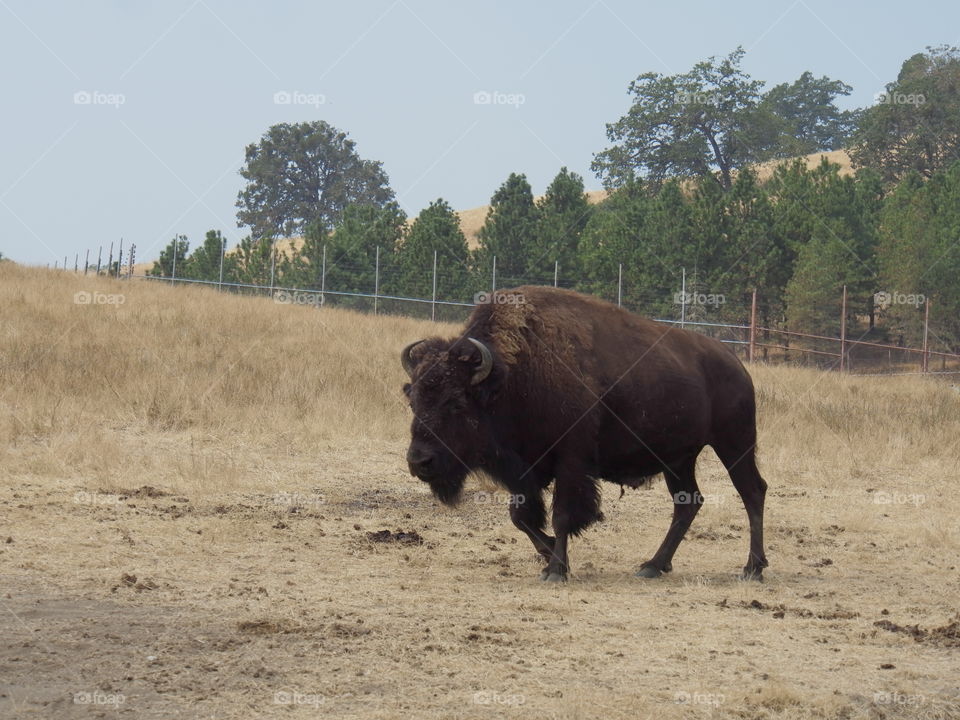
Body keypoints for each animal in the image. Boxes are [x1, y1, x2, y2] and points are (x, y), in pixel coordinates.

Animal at [402, 284, 768, 584]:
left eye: (456, 402)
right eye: (414, 399)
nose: (420, 462)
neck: (512, 379)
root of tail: (736, 365)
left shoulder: (571, 462)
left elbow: (562, 515)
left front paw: (556, 569)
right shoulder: (524, 472)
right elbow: (521, 518)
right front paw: (550, 555)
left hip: (734, 444)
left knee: (752, 491)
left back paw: (753, 568)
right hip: (678, 460)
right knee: (687, 503)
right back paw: (653, 565)